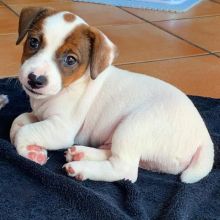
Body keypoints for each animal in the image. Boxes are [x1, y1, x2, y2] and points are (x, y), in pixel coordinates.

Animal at [9, 6, 213, 183]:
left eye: (70, 60)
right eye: (33, 42)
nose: (35, 79)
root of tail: (204, 138)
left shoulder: (62, 129)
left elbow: (24, 131)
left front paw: (31, 152)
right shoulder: (40, 115)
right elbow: (18, 122)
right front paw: (30, 146)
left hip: (133, 127)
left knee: (125, 170)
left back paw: (82, 167)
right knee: (113, 154)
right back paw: (81, 153)